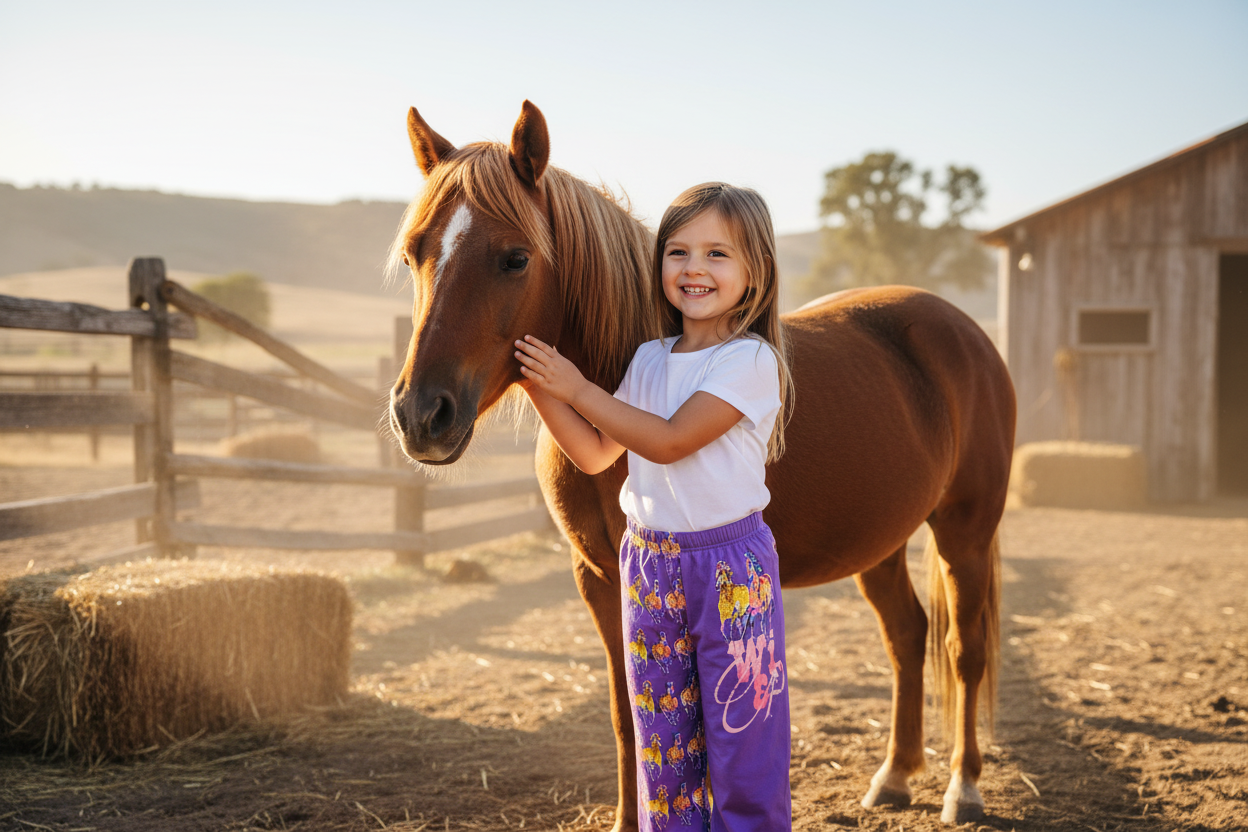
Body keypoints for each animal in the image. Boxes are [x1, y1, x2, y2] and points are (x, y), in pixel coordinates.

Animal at [387, 100, 1016, 828]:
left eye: (514, 258)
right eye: (415, 252)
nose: (419, 415)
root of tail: (964, 333)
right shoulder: (598, 578)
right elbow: (627, 716)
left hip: (963, 532)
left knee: (964, 650)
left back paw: (962, 787)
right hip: (881, 541)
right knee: (907, 635)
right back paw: (894, 776)